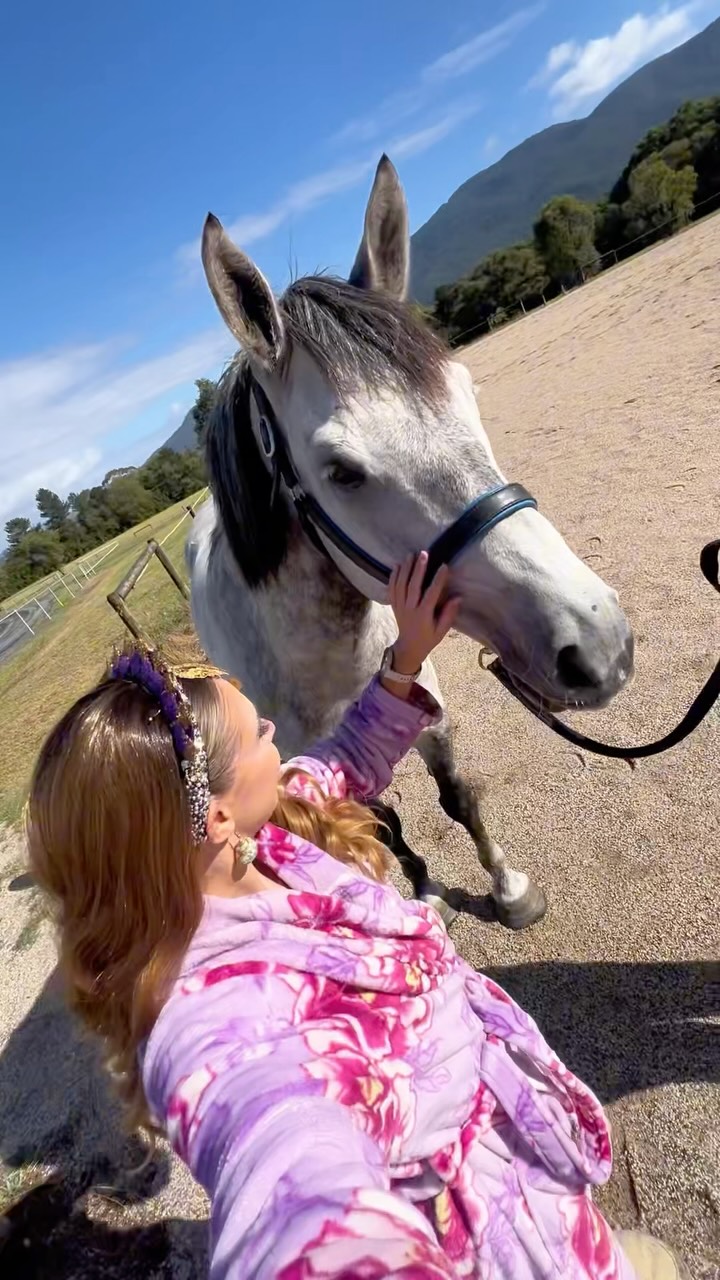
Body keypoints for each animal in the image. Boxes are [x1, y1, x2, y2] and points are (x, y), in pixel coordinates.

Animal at [186, 155, 634, 930]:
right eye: (341, 471)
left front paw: (510, 890)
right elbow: (383, 822)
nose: (598, 643)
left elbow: (459, 796)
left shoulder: (428, 702)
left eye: (466, 392)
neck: (325, 660)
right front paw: (422, 885)